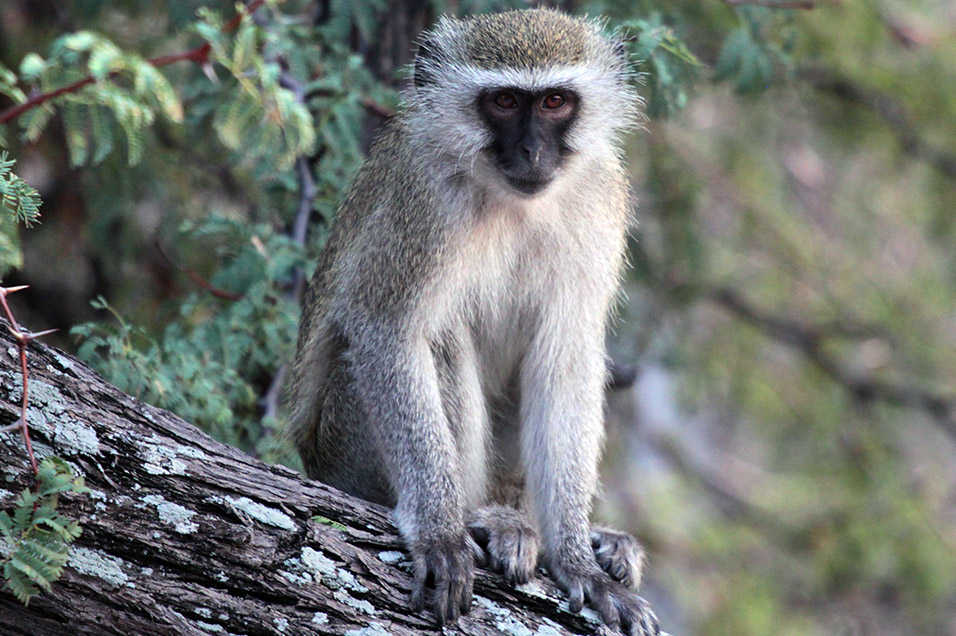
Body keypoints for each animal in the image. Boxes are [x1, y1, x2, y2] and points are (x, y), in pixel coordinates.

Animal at [284, 6, 656, 636]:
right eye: (503, 102)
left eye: (554, 101)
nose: (532, 153)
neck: (513, 201)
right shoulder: (424, 201)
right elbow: (389, 330)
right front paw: (439, 532)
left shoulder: (601, 198)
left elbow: (564, 363)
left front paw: (577, 560)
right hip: (344, 444)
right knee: (440, 338)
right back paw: (481, 517)